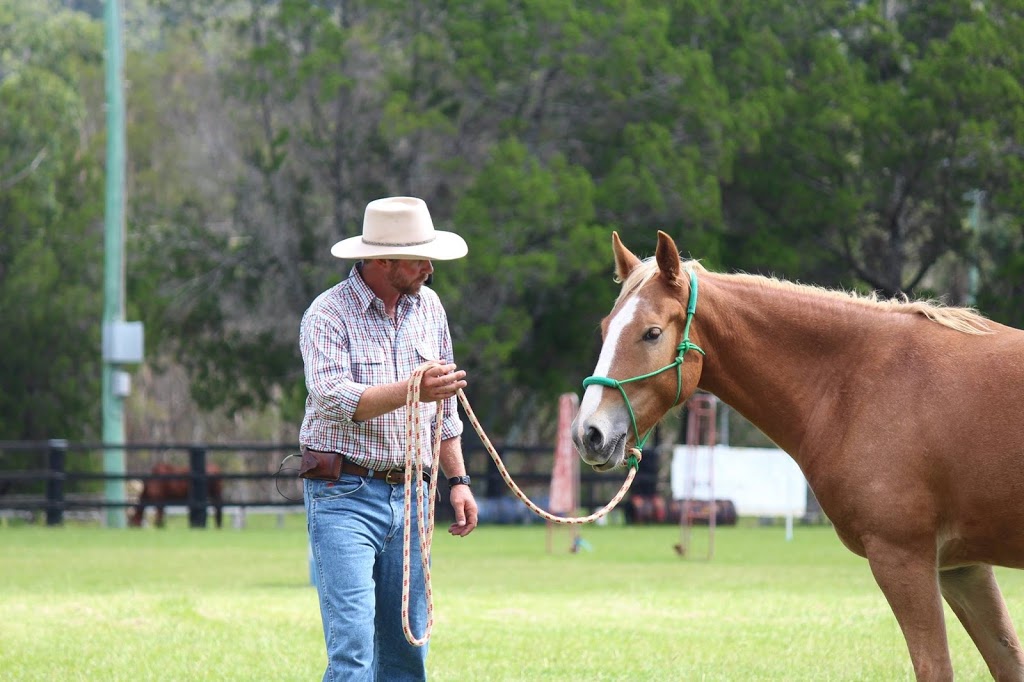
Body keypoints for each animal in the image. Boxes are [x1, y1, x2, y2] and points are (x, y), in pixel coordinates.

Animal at [573, 231, 1024, 675]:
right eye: (606, 328)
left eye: (651, 333)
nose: (587, 433)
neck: (861, 381)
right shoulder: (961, 567)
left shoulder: (903, 557)